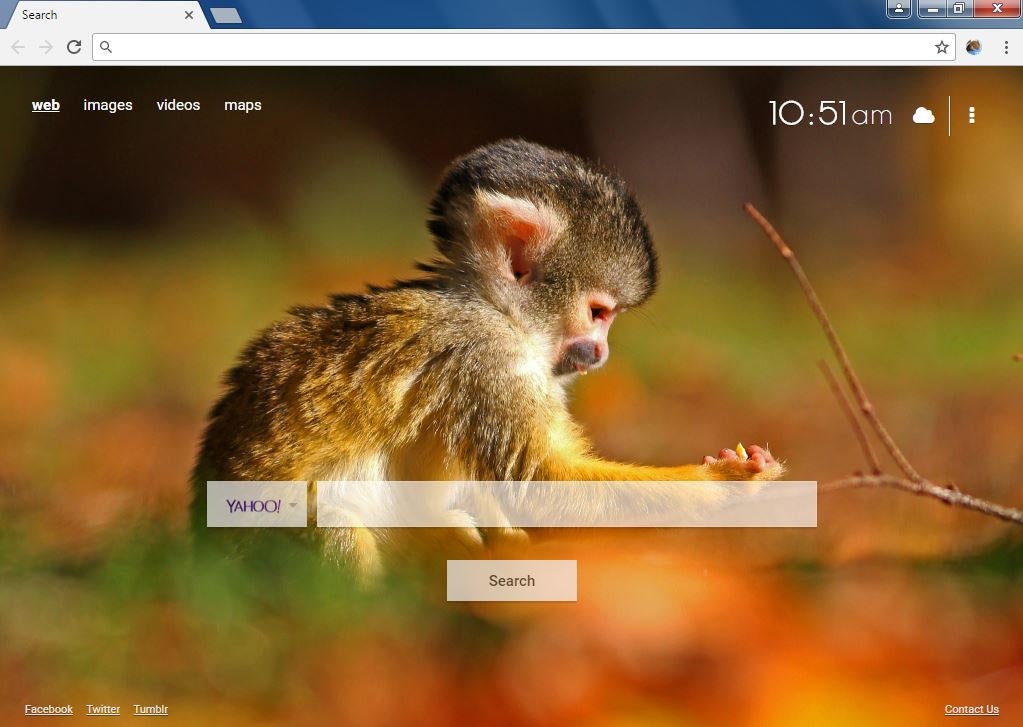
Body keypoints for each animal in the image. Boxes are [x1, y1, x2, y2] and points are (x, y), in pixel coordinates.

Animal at [191, 139, 783, 576]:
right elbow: (539, 483)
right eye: (598, 313)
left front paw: (507, 542)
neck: (496, 311)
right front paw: (723, 485)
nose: (601, 352)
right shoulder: (485, 360)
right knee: (334, 526)